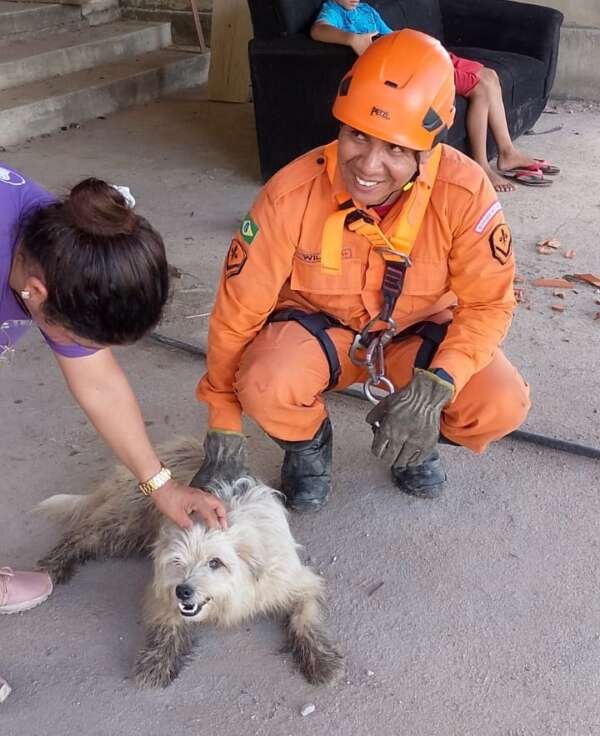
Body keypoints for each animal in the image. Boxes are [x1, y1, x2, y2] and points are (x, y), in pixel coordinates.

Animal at [36, 440, 342, 688]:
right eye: (177, 561)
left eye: (215, 562)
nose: (183, 591)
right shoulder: (161, 589)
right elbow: (168, 625)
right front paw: (157, 661)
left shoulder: (294, 582)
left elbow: (305, 618)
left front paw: (321, 659)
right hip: (125, 524)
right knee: (80, 534)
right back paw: (53, 565)